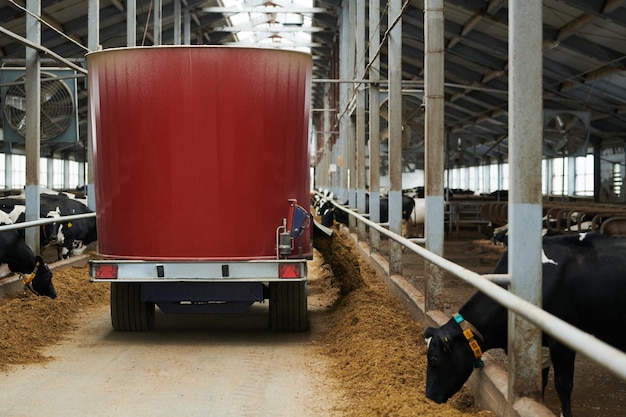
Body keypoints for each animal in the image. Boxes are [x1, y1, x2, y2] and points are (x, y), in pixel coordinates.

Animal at [422, 232, 624, 416]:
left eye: (434, 359)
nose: (429, 396)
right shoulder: (540, 345)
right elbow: (541, 380)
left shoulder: (562, 344)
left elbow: (563, 386)